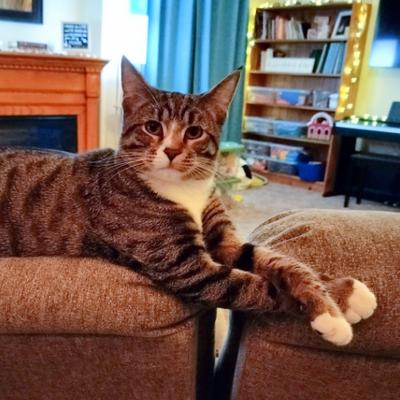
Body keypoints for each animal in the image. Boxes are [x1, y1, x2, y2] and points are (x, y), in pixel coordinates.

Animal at [0, 56, 376, 345]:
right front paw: (332, 318)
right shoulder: (183, 264)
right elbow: (259, 286)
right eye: (152, 127)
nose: (171, 151)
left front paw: (341, 293)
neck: (185, 191)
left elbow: (280, 262)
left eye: (194, 132)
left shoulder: (223, 240)